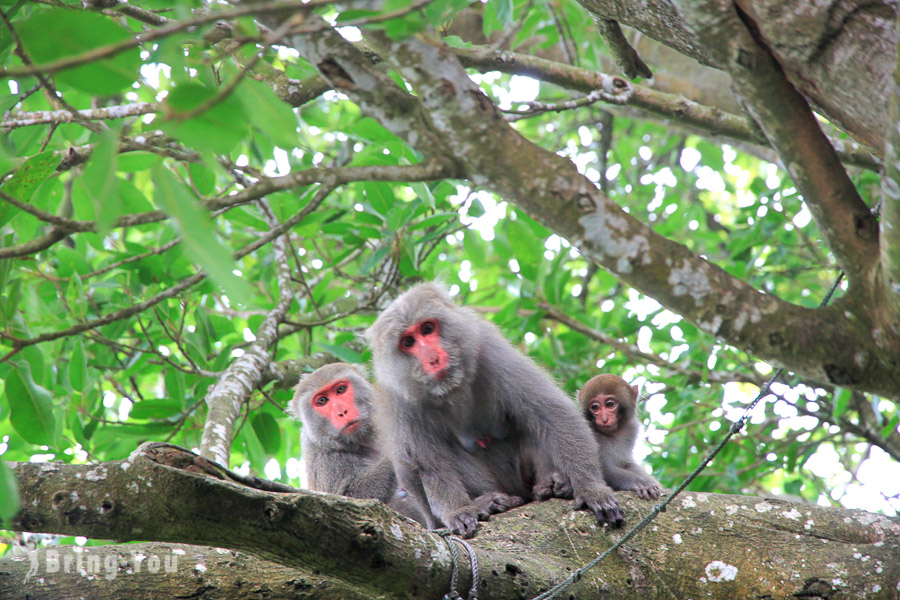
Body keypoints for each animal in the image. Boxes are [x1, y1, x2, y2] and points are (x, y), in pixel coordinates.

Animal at [370, 282, 624, 540]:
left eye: (428, 328)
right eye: (408, 342)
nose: (432, 359)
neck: (451, 387)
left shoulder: (488, 346)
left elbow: (553, 414)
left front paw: (591, 489)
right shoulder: (400, 397)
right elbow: (427, 464)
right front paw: (459, 510)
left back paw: (554, 484)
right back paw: (493, 503)